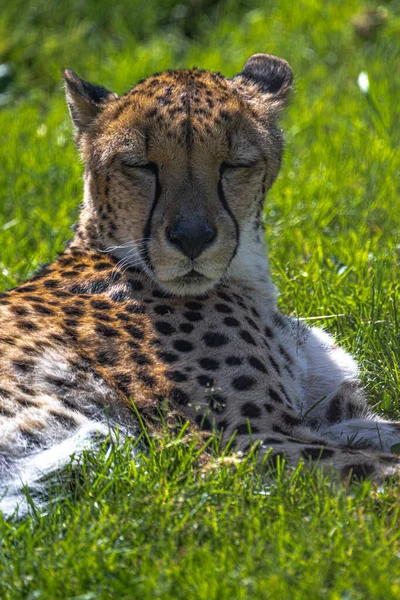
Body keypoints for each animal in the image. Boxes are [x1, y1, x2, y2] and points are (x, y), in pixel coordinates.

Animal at [0, 54, 400, 516]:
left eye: (234, 164)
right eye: (140, 165)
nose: (192, 237)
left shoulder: (327, 417)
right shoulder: (238, 442)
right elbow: (385, 469)